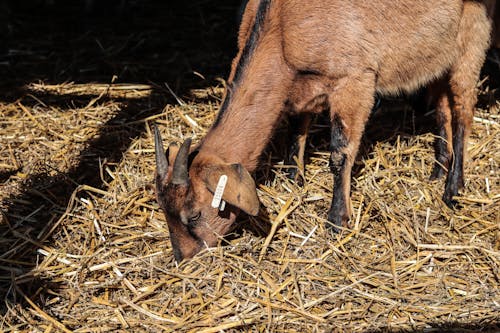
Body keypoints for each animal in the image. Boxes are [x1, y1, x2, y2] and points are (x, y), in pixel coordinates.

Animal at [154, 0, 494, 260]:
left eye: (193, 215)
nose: (183, 257)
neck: (280, 29)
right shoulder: (301, 88)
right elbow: (296, 130)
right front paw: (294, 180)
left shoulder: (354, 79)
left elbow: (340, 154)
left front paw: (336, 221)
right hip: (438, 52)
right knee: (443, 107)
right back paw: (438, 170)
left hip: (472, 38)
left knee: (463, 110)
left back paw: (453, 189)